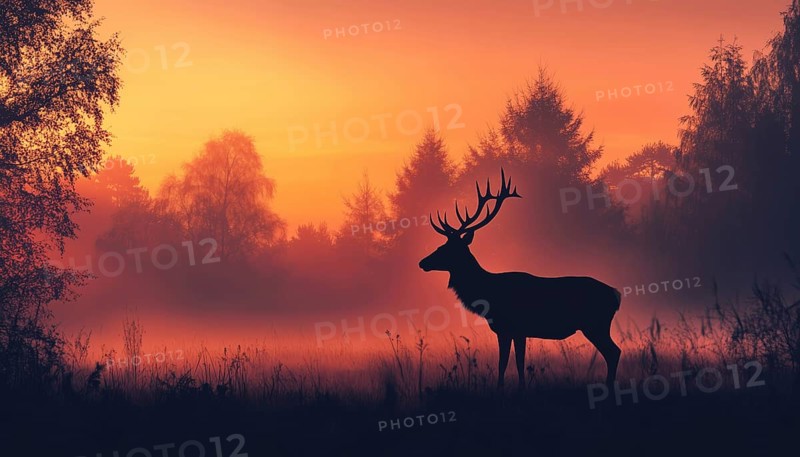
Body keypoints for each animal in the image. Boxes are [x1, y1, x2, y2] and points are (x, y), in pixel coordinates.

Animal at [418, 169, 622, 390]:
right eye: (441, 245)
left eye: (447, 248)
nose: (423, 262)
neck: (487, 294)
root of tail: (616, 294)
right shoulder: (512, 330)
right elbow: (512, 363)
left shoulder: (512, 327)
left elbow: (509, 363)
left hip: (596, 324)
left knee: (614, 352)